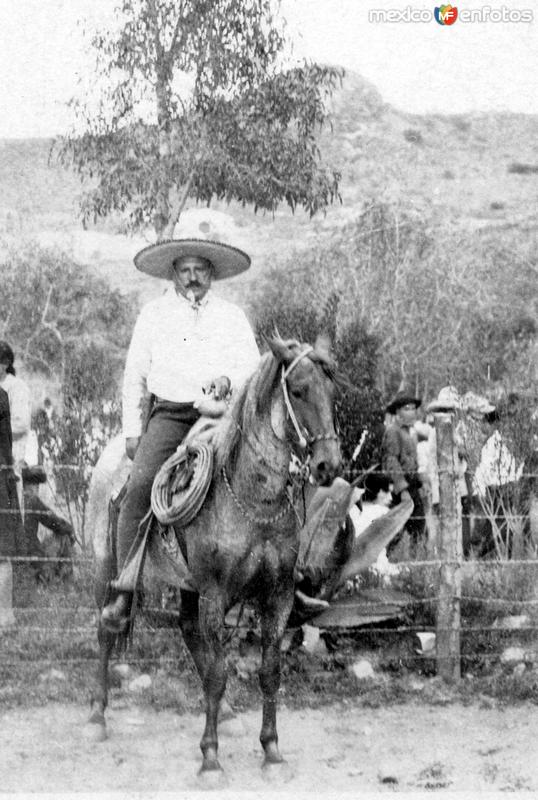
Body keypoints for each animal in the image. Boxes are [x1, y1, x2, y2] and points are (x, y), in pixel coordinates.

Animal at [86, 338, 342, 776]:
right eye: (298, 390)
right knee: (109, 624)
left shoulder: (277, 596)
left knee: (189, 632)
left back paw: (225, 714)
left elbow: (268, 672)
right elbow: (220, 673)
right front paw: (210, 758)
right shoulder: (215, 593)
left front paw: (272, 750)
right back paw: (97, 717)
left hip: (189, 586)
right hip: (109, 567)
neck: (252, 499)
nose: (329, 464)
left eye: (332, 390)